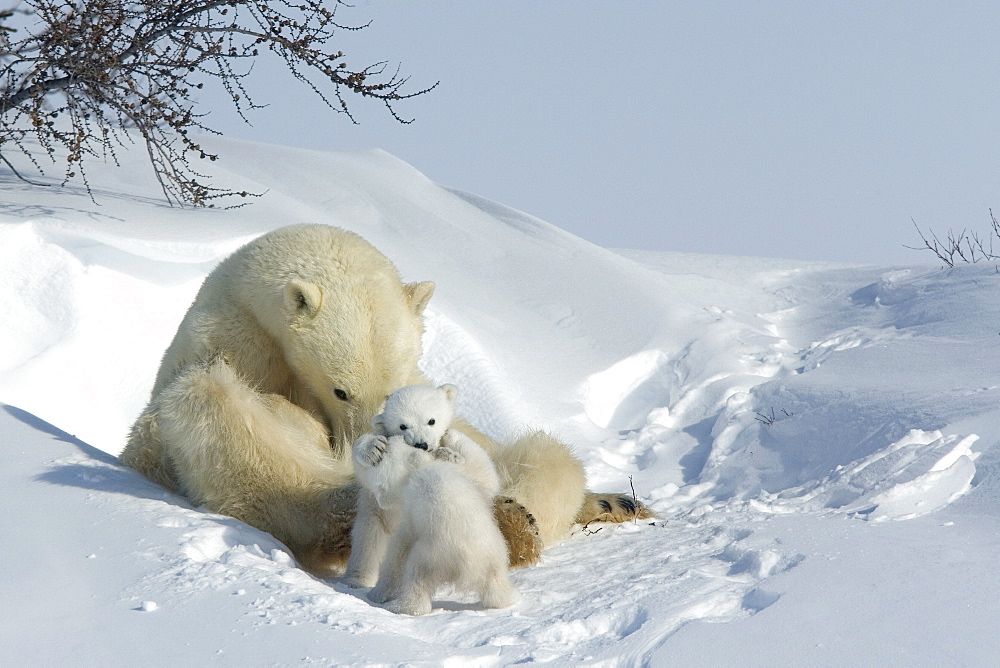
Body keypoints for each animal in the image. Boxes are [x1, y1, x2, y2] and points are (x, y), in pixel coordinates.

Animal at [121, 223, 648, 576]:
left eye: (394, 391)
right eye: (341, 390)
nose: (364, 444)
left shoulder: (428, 392)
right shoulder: (232, 346)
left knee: (544, 454)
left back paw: (582, 507)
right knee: (216, 412)